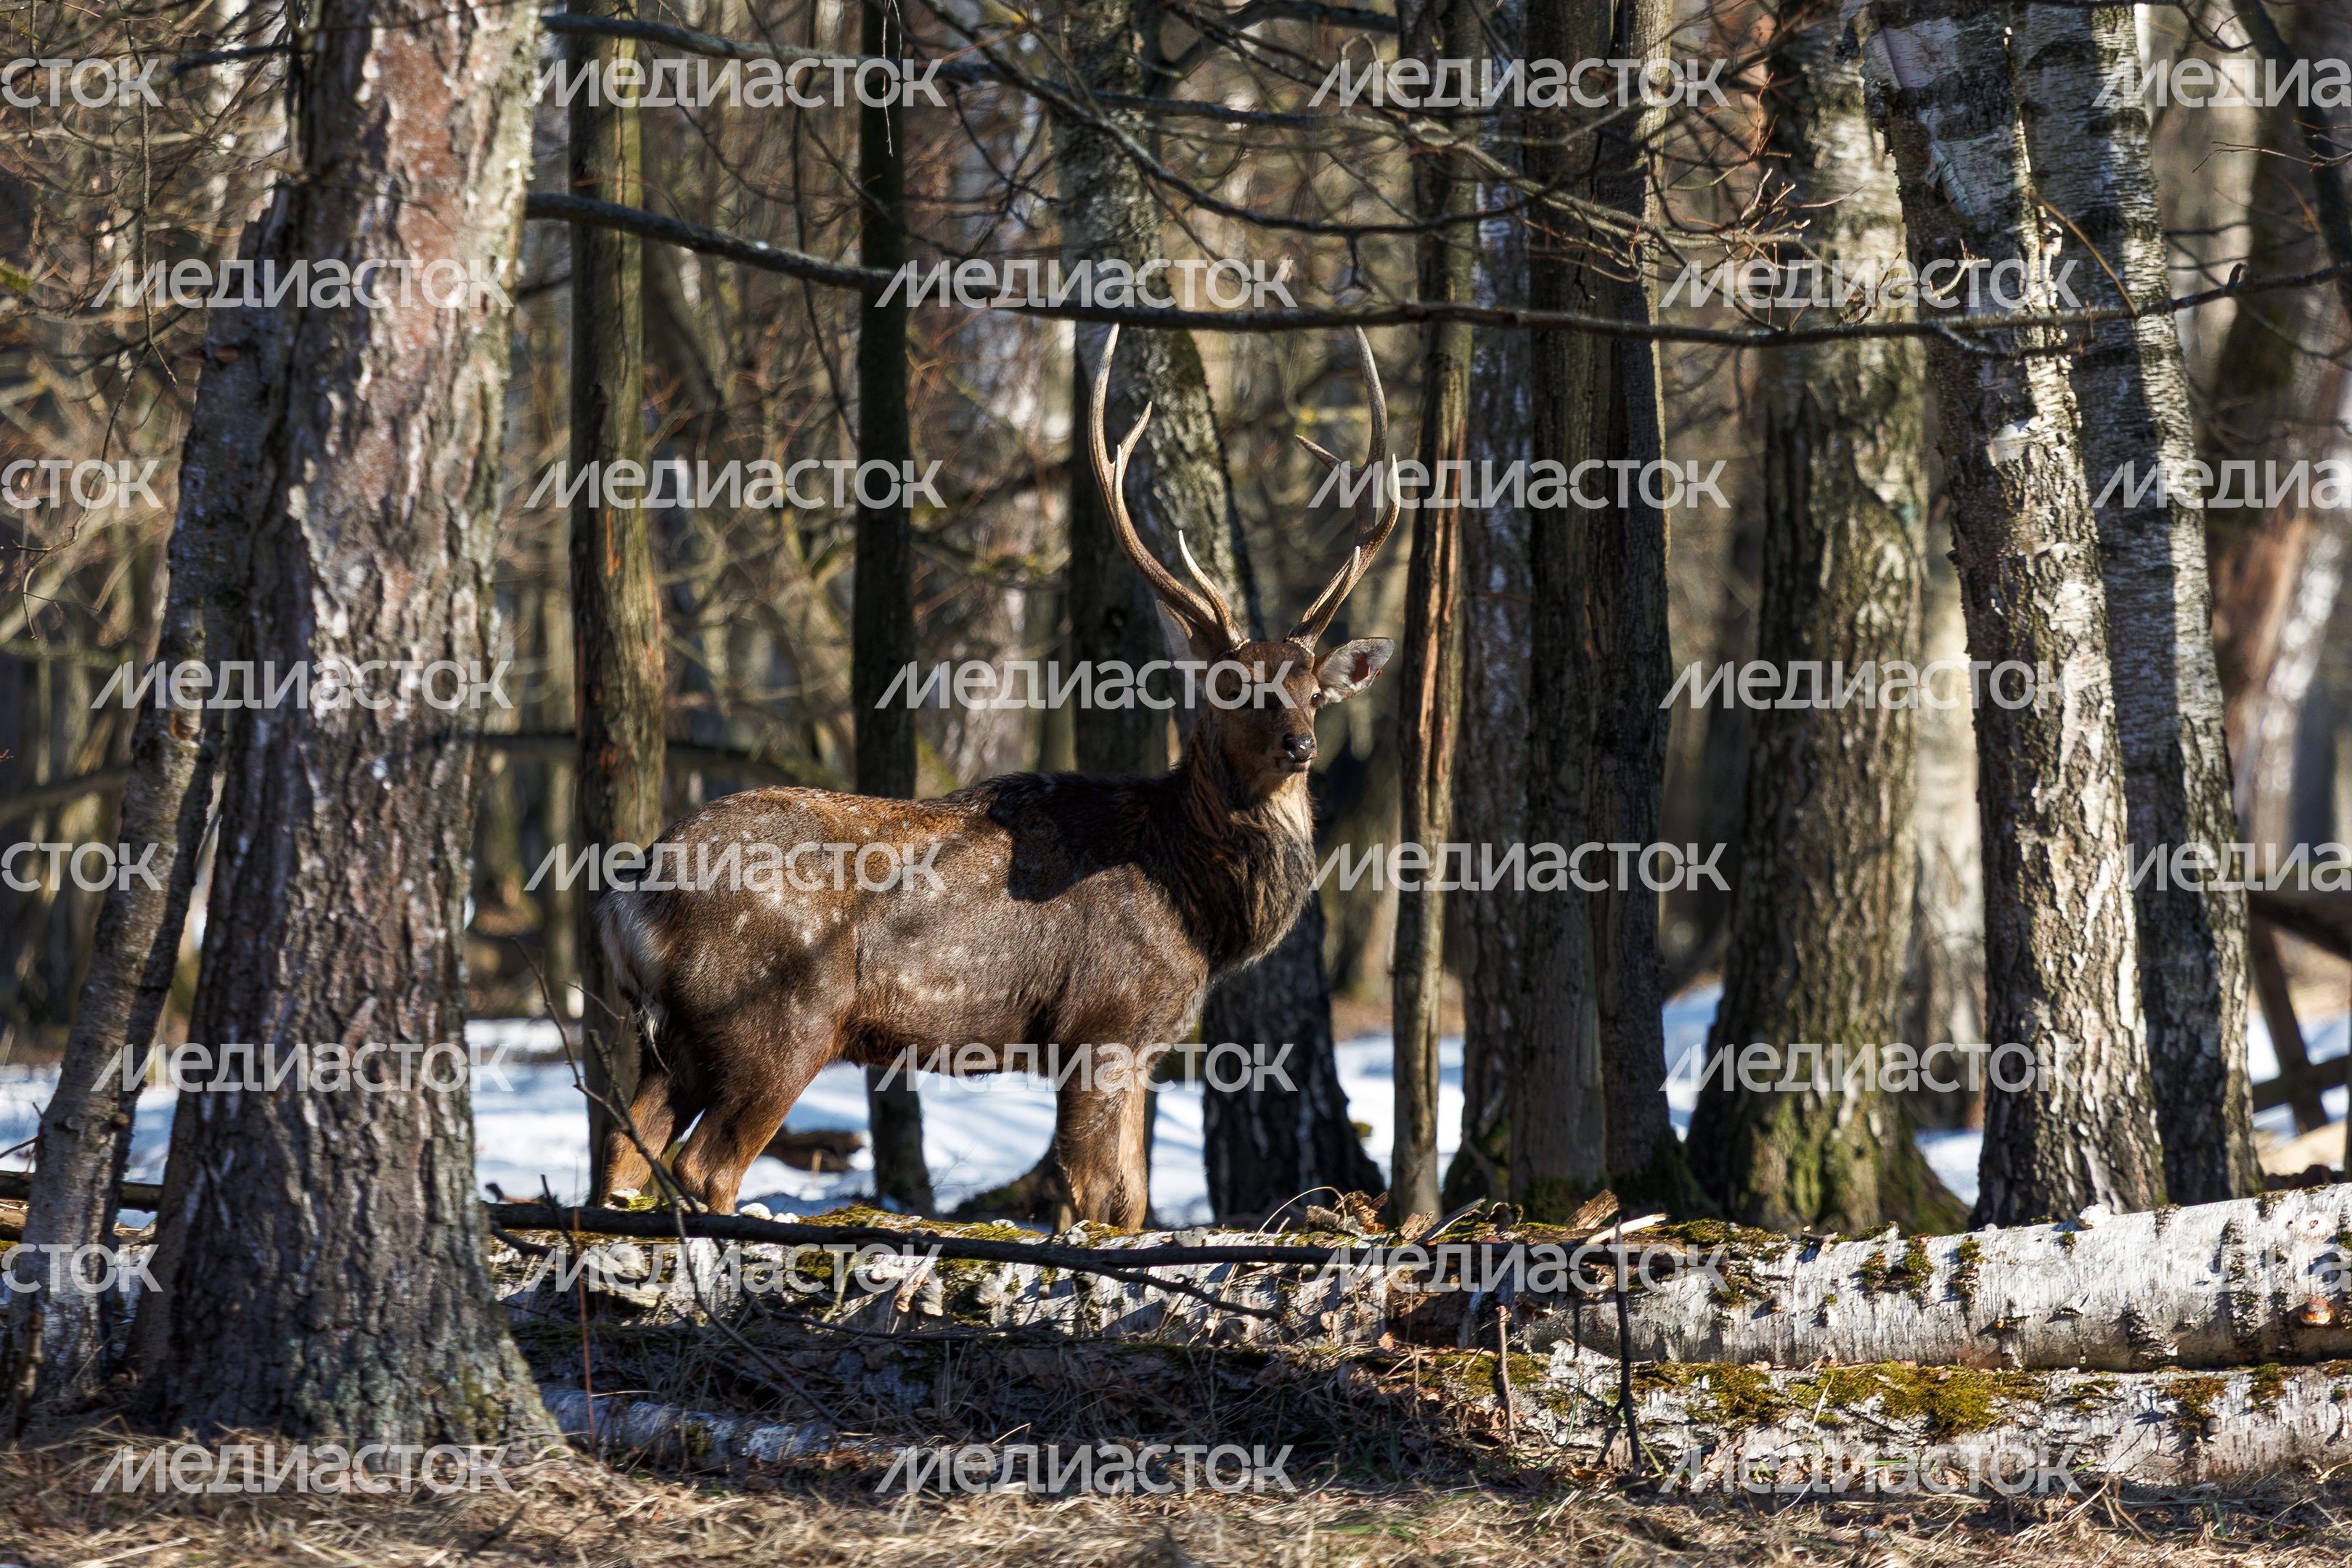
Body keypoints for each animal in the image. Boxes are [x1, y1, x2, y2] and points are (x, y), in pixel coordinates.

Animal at [590, 325, 1398, 1227]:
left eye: (1314, 690)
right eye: (1233, 687)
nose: (1300, 744)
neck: (1193, 905)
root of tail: (629, 895)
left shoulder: (1143, 1046)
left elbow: (1132, 1202)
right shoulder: (1101, 1022)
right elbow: (1098, 1199)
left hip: (678, 1043)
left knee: (623, 1154)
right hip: (776, 1016)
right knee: (705, 1168)